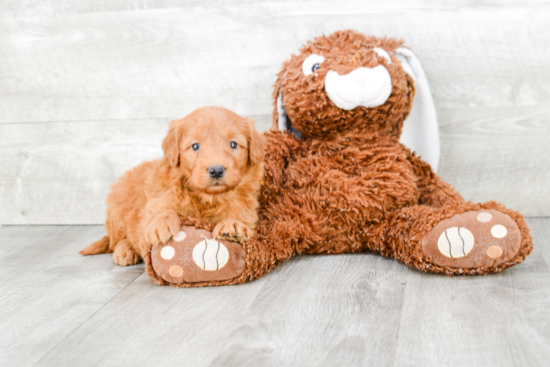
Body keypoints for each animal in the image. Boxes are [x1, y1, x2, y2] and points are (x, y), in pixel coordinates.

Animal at [79, 107, 266, 268]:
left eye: (233, 144)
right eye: (195, 146)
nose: (216, 170)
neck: (208, 198)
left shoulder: (247, 210)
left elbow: (238, 216)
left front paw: (233, 225)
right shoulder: (154, 202)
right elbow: (160, 211)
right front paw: (161, 222)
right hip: (118, 209)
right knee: (117, 240)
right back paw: (125, 251)